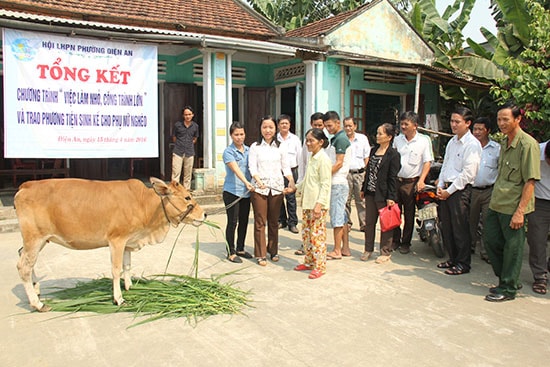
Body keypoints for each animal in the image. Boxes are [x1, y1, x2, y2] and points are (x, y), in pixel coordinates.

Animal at [15, 178, 205, 314]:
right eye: (187, 197)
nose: (204, 214)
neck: (144, 204)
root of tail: (27, 185)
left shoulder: (128, 242)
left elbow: (127, 265)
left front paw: (130, 287)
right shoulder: (117, 240)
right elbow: (116, 270)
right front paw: (119, 299)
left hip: (39, 241)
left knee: (24, 258)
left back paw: (36, 290)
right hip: (34, 239)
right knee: (23, 267)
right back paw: (38, 304)